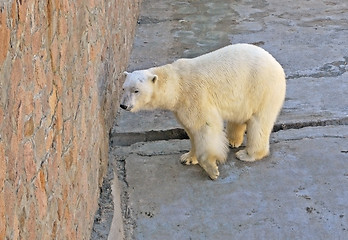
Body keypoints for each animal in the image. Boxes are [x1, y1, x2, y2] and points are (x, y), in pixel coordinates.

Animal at [119, 44, 286, 180]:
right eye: (123, 88)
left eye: (136, 90)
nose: (123, 105)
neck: (176, 84)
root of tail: (277, 65)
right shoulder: (181, 106)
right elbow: (191, 130)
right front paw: (187, 158)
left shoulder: (194, 96)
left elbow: (204, 127)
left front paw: (212, 170)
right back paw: (233, 140)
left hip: (261, 88)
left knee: (259, 122)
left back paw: (247, 154)